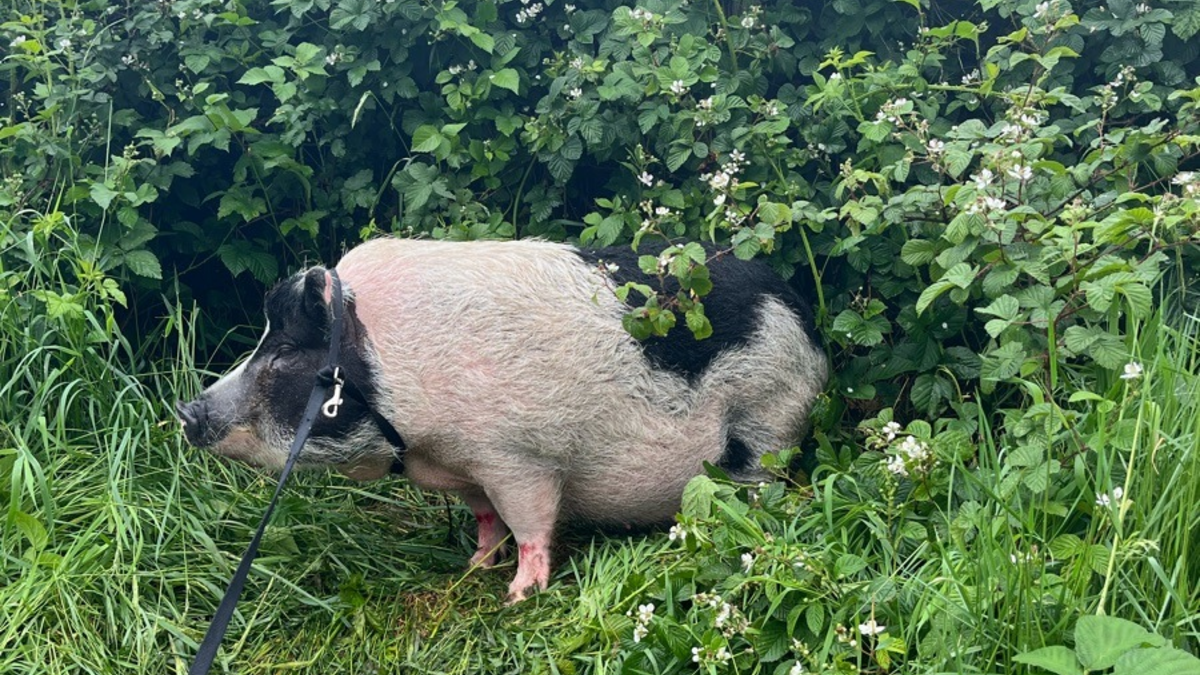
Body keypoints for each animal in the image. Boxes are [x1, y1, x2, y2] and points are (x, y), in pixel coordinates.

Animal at [177, 238, 827, 602]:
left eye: (286, 351)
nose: (185, 409)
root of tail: (803, 316)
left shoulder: (518, 457)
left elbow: (531, 523)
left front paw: (517, 598)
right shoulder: (465, 468)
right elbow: (487, 518)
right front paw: (471, 567)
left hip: (768, 414)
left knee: (760, 478)